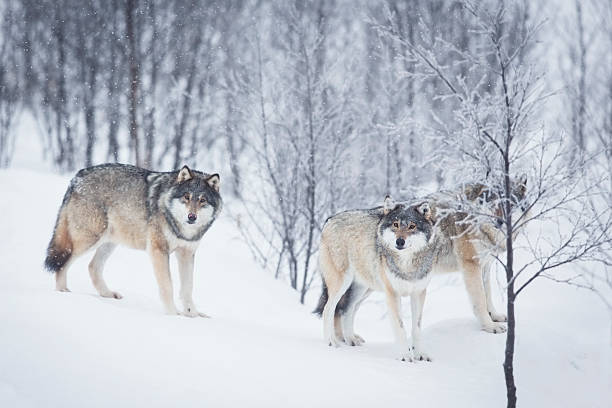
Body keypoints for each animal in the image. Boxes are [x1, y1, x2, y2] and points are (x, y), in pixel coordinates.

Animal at [45, 164, 222, 318]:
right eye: (187, 197)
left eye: (202, 200)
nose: (192, 217)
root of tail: (77, 176)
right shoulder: (159, 250)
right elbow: (167, 286)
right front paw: (173, 315)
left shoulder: (186, 253)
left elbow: (187, 289)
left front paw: (193, 315)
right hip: (89, 239)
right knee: (62, 263)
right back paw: (63, 293)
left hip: (109, 243)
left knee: (92, 267)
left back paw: (107, 294)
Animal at [314, 196, 438, 362]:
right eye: (395, 224)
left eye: (412, 226)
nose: (400, 241)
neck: (406, 264)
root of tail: (329, 219)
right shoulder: (392, 294)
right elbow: (400, 327)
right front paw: (405, 356)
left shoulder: (419, 293)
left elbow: (416, 328)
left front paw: (420, 354)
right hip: (342, 284)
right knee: (329, 309)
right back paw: (331, 341)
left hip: (363, 289)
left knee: (347, 309)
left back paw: (350, 339)